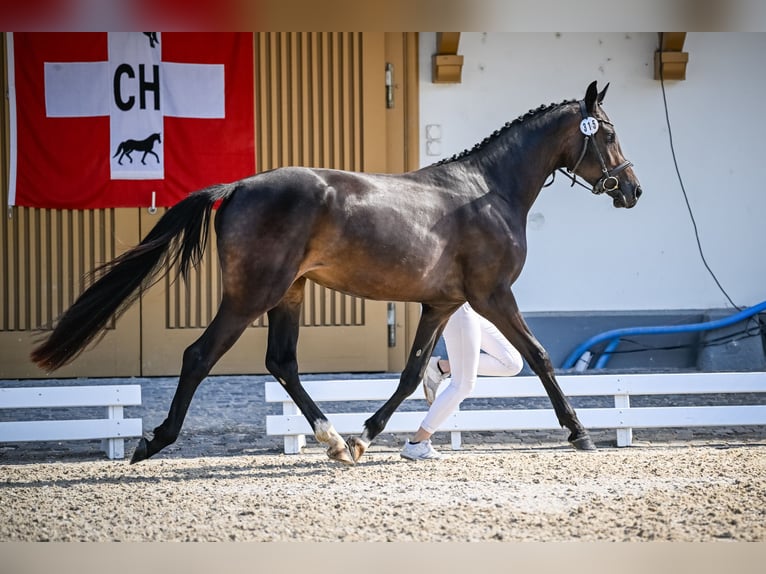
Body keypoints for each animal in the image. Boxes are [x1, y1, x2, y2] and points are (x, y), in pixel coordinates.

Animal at [31, 81, 640, 466]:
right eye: (608, 133)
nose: (633, 190)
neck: (488, 190)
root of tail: (238, 186)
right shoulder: (493, 295)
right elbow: (539, 356)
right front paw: (580, 433)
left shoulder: (441, 304)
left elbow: (412, 373)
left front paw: (368, 436)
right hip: (252, 295)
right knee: (199, 356)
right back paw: (154, 442)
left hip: (290, 294)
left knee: (282, 362)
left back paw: (334, 442)